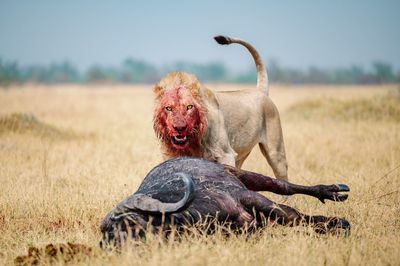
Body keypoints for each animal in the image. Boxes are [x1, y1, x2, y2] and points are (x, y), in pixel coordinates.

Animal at [101, 157, 350, 246]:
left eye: (129, 222)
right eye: (105, 232)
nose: (110, 246)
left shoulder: (247, 197)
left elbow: (292, 215)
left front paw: (337, 223)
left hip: (245, 176)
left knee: (282, 186)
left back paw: (333, 191)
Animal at [153, 35, 288, 181]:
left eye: (189, 107)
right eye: (168, 108)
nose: (179, 128)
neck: (193, 139)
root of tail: (260, 91)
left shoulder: (226, 155)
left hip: (276, 154)